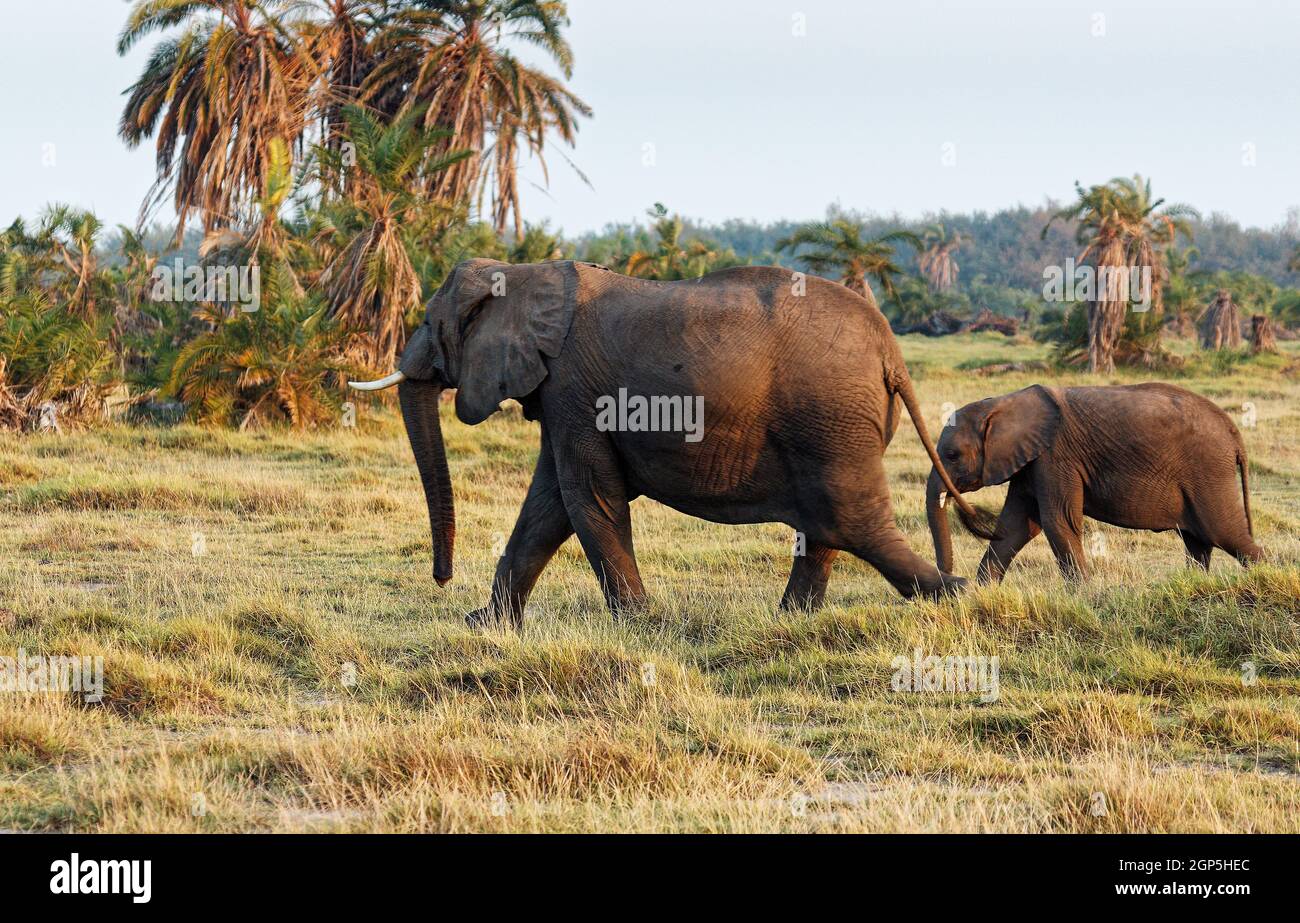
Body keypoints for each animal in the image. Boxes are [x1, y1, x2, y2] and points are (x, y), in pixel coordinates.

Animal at [351, 258, 987, 629]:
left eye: (429, 323)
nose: (441, 580)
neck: (525, 272)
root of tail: (891, 350)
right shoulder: (563, 393)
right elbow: (547, 504)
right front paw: (486, 624)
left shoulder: (574, 387)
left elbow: (585, 496)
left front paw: (637, 626)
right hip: (838, 423)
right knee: (830, 522)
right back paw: (790, 621)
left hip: (831, 416)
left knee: (852, 519)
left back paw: (957, 597)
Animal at [925, 384, 1258, 585]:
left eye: (952, 455)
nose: (953, 580)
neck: (1003, 402)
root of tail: (1235, 434)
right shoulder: (1031, 462)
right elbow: (1016, 527)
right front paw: (981, 593)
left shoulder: (1055, 457)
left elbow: (1057, 521)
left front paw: (1083, 595)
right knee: (1197, 541)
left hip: (1208, 471)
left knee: (1226, 533)